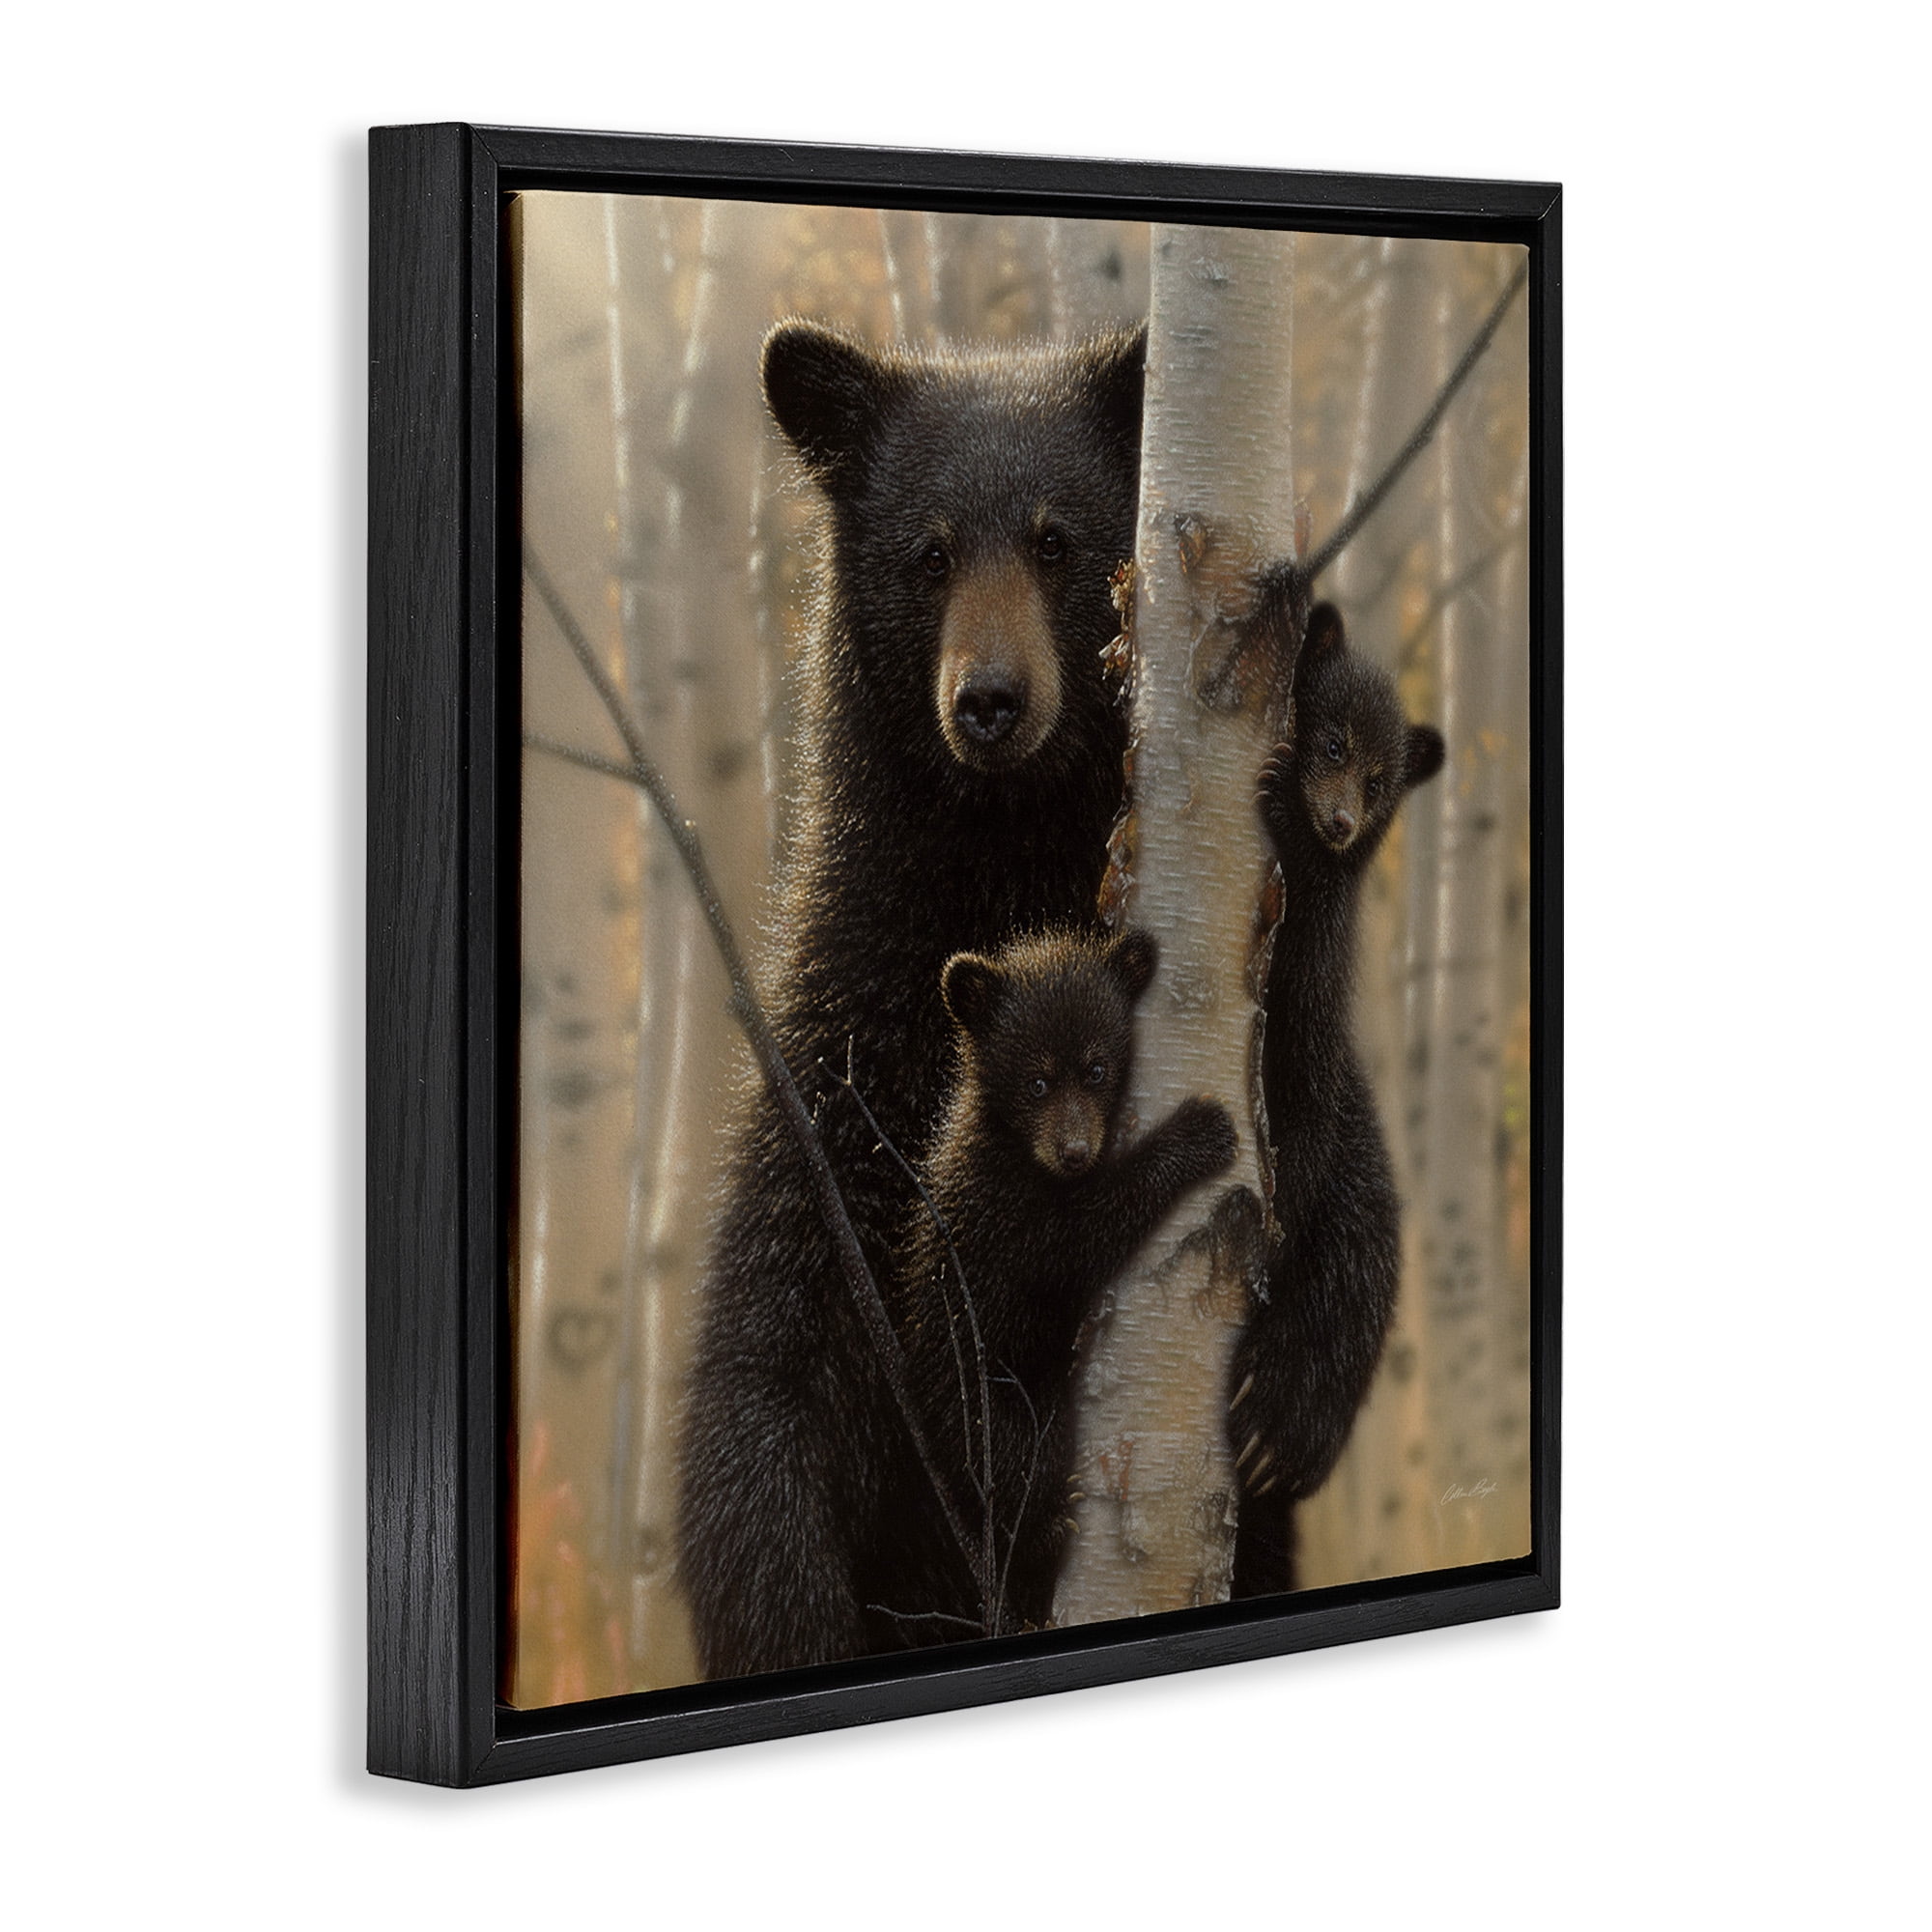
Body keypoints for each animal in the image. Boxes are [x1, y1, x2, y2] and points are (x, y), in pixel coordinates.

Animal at [676, 319, 1149, 1680]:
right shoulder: (840, 1082)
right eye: (926, 552)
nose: (988, 699)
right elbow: (766, 1383)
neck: (997, 871)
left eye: (1055, 538)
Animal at [868, 927, 1238, 1646]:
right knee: (1015, 1465)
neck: (1020, 1151)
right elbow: (1077, 1240)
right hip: (986, 1400)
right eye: (1035, 1080)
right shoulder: (1003, 1213)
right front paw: (1198, 1133)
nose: (1073, 1150)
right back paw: (1044, 1530)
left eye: (1095, 1069)